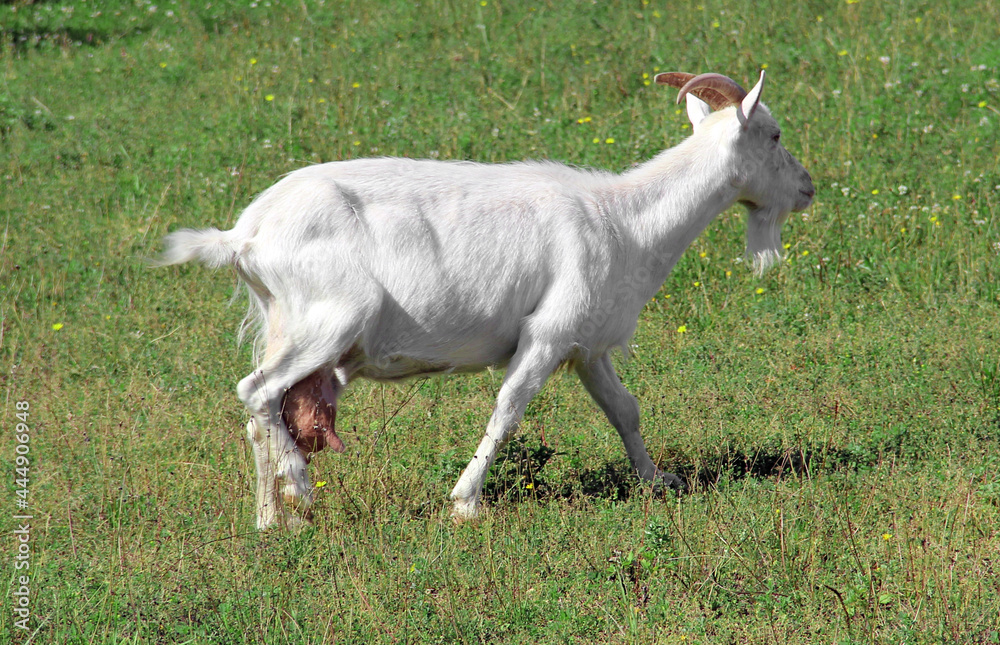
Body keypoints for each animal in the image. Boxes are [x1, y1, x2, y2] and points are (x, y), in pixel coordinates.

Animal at [158, 70, 814, 529]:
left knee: (261, 415)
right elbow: (508, 409)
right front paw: (465, 502)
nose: (808, 188)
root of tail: (245, 235)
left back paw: (271, 519)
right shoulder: (548, 331)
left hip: (286, 324)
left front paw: (659, 481)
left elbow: (624, 410)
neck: (623, 220)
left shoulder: (586, 343)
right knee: (256, 391)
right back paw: (299, 489)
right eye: (775, 135)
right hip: (331, 318)